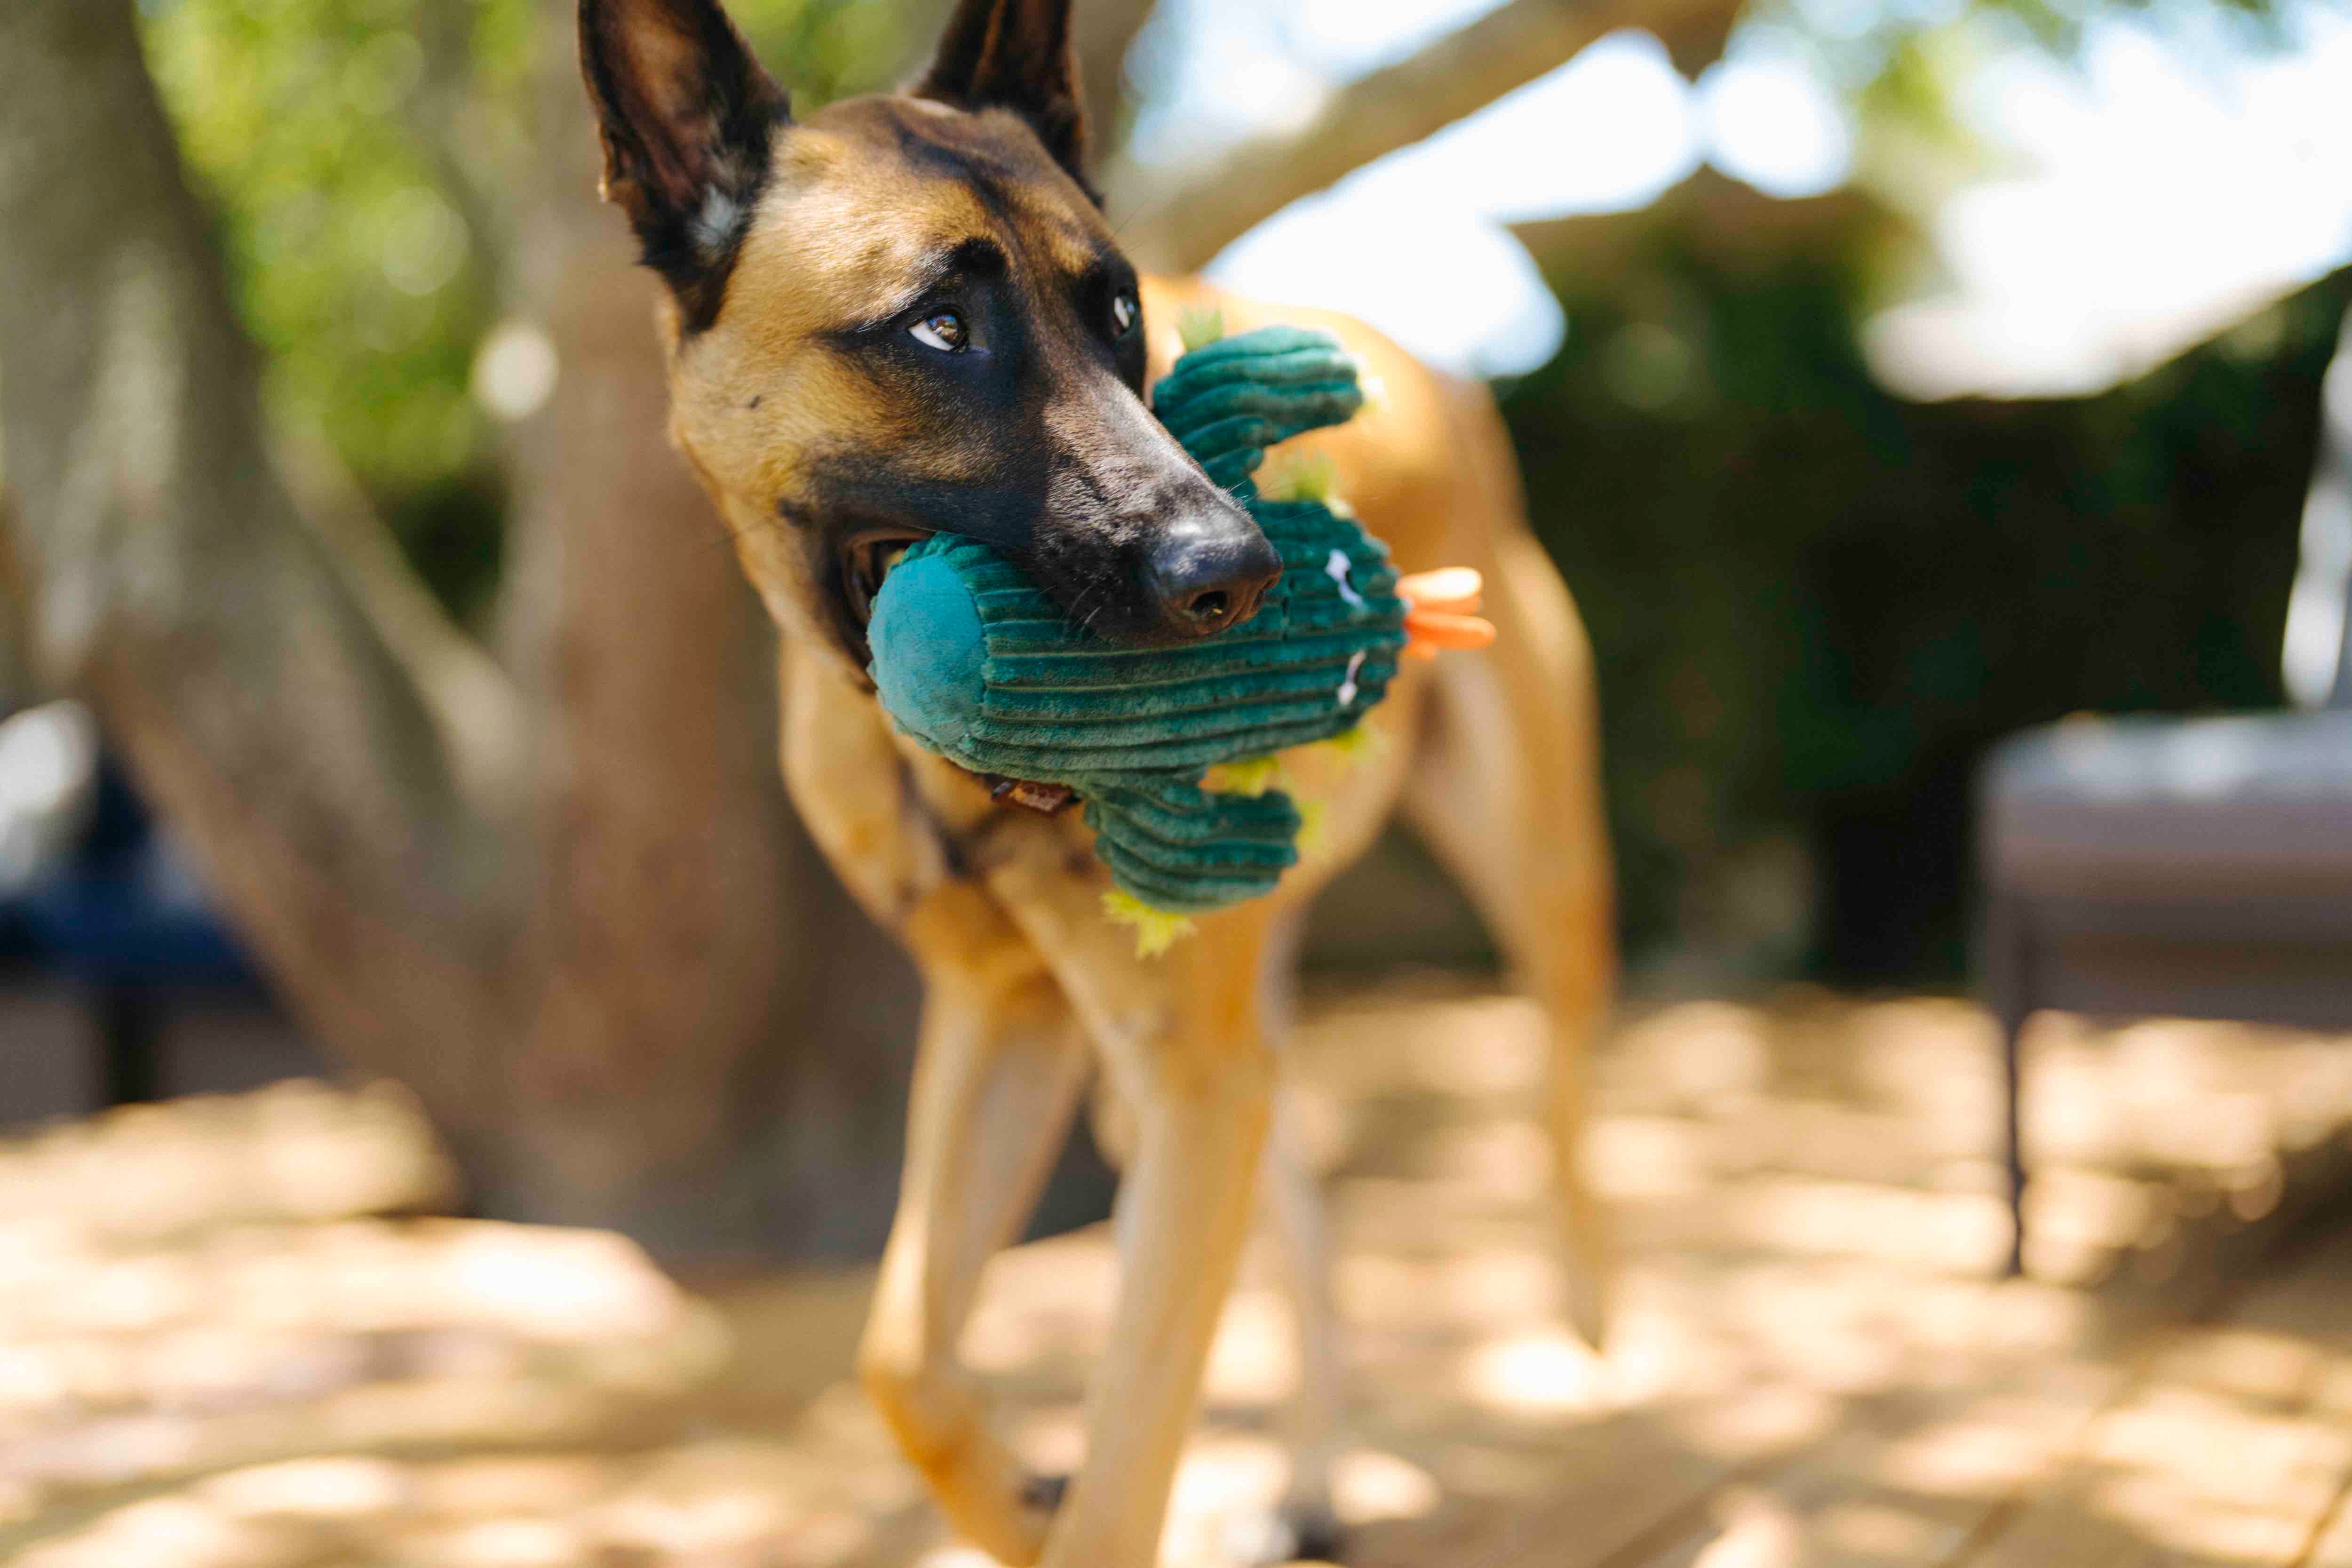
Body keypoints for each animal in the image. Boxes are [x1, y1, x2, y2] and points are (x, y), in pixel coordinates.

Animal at [583, 3, 1618, 1561]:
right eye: (938, 328)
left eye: (1119, 311)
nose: (1239, 574)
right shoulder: (1013, 1023)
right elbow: (901, 1357)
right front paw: (1018, 1501)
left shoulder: (1177, 1074)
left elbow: (1132, 1440)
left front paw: (1065, 1498)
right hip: (1198, 1052)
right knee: (1294, 1205)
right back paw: (1312, 1474)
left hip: (1533, 897)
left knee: (1563, 1122)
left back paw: (1596, 1338)